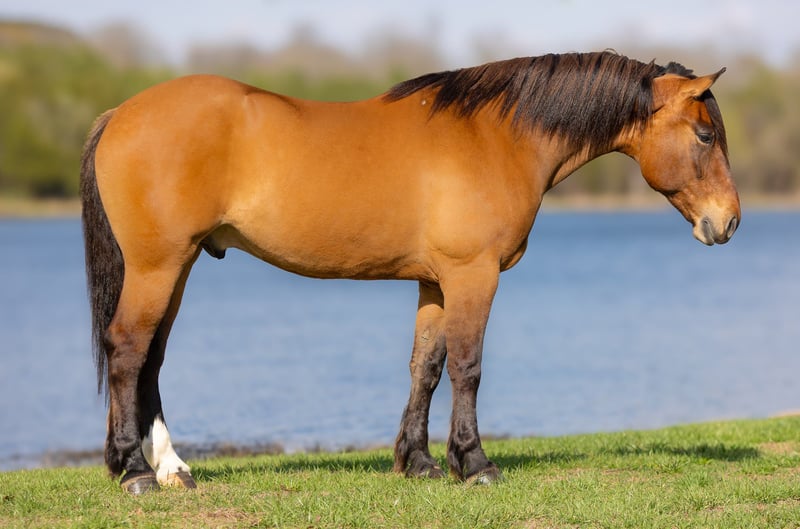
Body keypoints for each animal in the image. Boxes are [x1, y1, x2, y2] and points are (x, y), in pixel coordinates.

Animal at [80, 51, 740, 494]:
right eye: (705, 134)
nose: (728, 222)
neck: (495, 137)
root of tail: (119, 113)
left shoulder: (435, 282)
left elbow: (427, 366)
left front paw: (418, 461)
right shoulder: (474, 276)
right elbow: (468, 366)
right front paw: (474, 463)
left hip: (178, 266)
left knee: (151, 358)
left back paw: (170, 467)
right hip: (158, 266)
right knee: (129, 349)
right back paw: (135, 470)